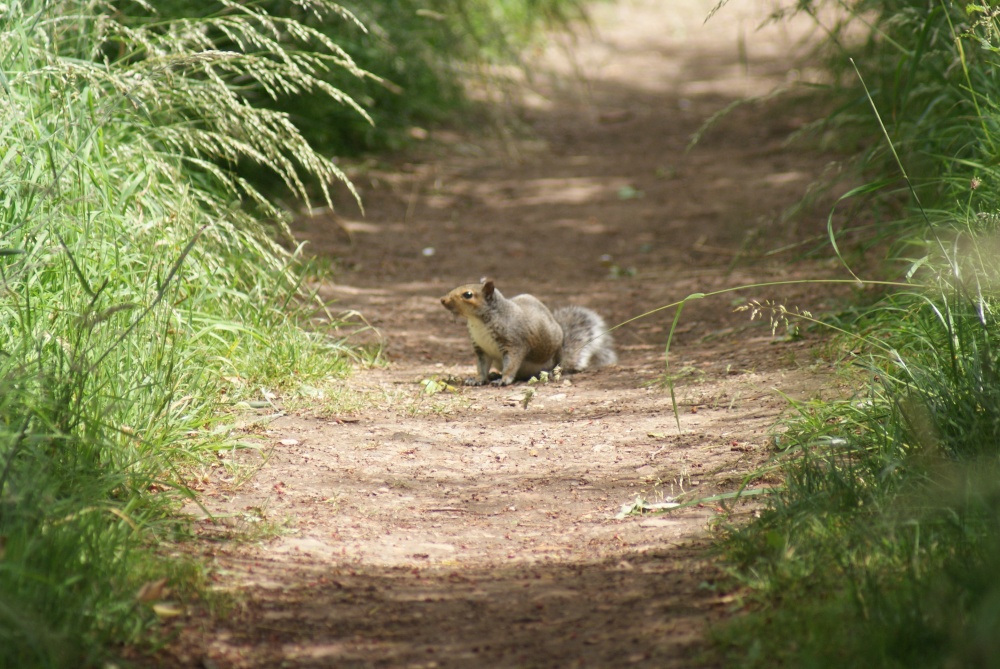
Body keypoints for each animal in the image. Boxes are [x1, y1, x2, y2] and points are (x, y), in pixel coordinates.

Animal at [440, 278, 617, 386]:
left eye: (468, 294)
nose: (442, 300)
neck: (478, 322)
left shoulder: (514, 343)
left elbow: (512, 364)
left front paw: (504, 379)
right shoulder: (481, 349)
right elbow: (481, 367)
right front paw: (478, 379)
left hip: (551, 361)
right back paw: (494, 375)